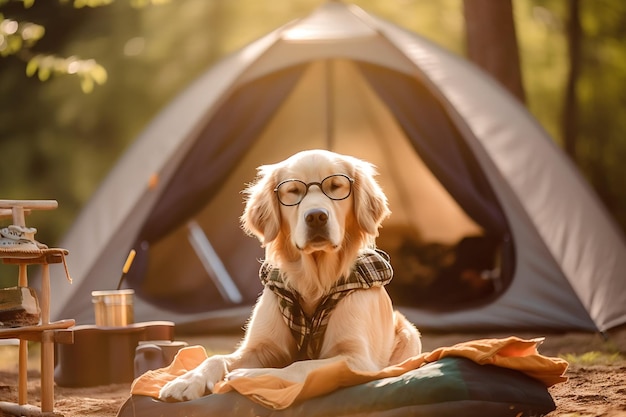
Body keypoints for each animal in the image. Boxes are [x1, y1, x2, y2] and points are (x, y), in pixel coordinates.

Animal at [157, 149, 420, 400]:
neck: (314, 282)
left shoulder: (357, 359)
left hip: (408, 333)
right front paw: (187, 380)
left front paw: (250, 376)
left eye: (335, 186)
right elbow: (216, 358)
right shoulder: (260, 347)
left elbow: (300, 366)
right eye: (293, 191)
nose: (316, 216)